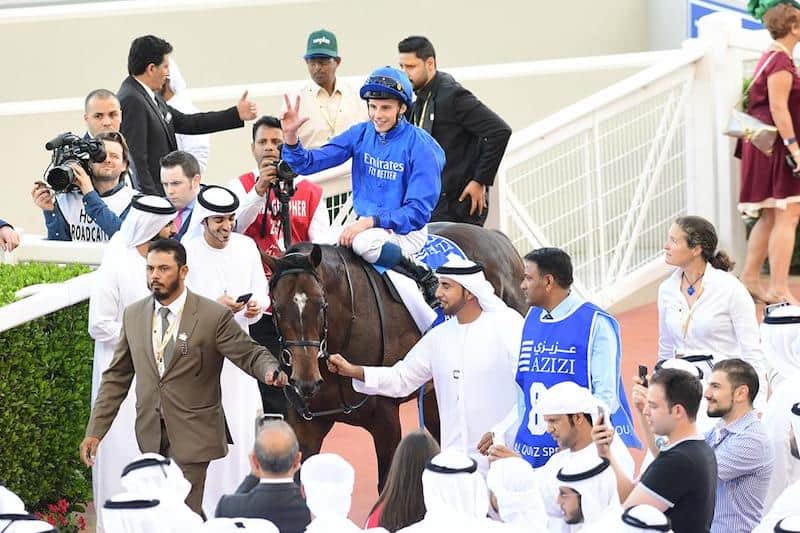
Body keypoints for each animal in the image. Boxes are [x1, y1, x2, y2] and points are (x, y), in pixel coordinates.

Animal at [260, 222, 524, 488]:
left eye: (321, 304)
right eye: (277, 308)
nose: (305, 381)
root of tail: (497, 238)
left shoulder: (385, 421)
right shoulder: (306, 424)